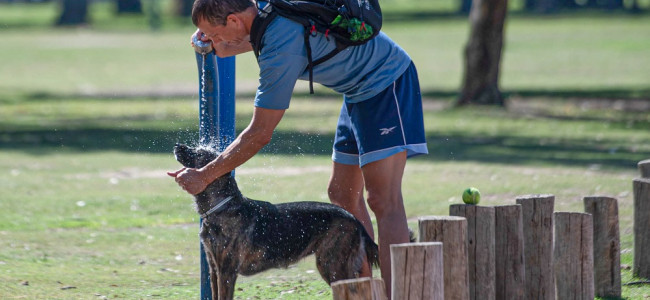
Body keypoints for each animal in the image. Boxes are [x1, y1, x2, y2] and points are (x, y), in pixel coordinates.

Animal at [172, 144, 378, 298]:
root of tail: (354, 219)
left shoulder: (226, 272)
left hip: (332, 265)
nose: (177, 145)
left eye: (199, 153)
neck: (223, 205)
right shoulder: (214, 269)